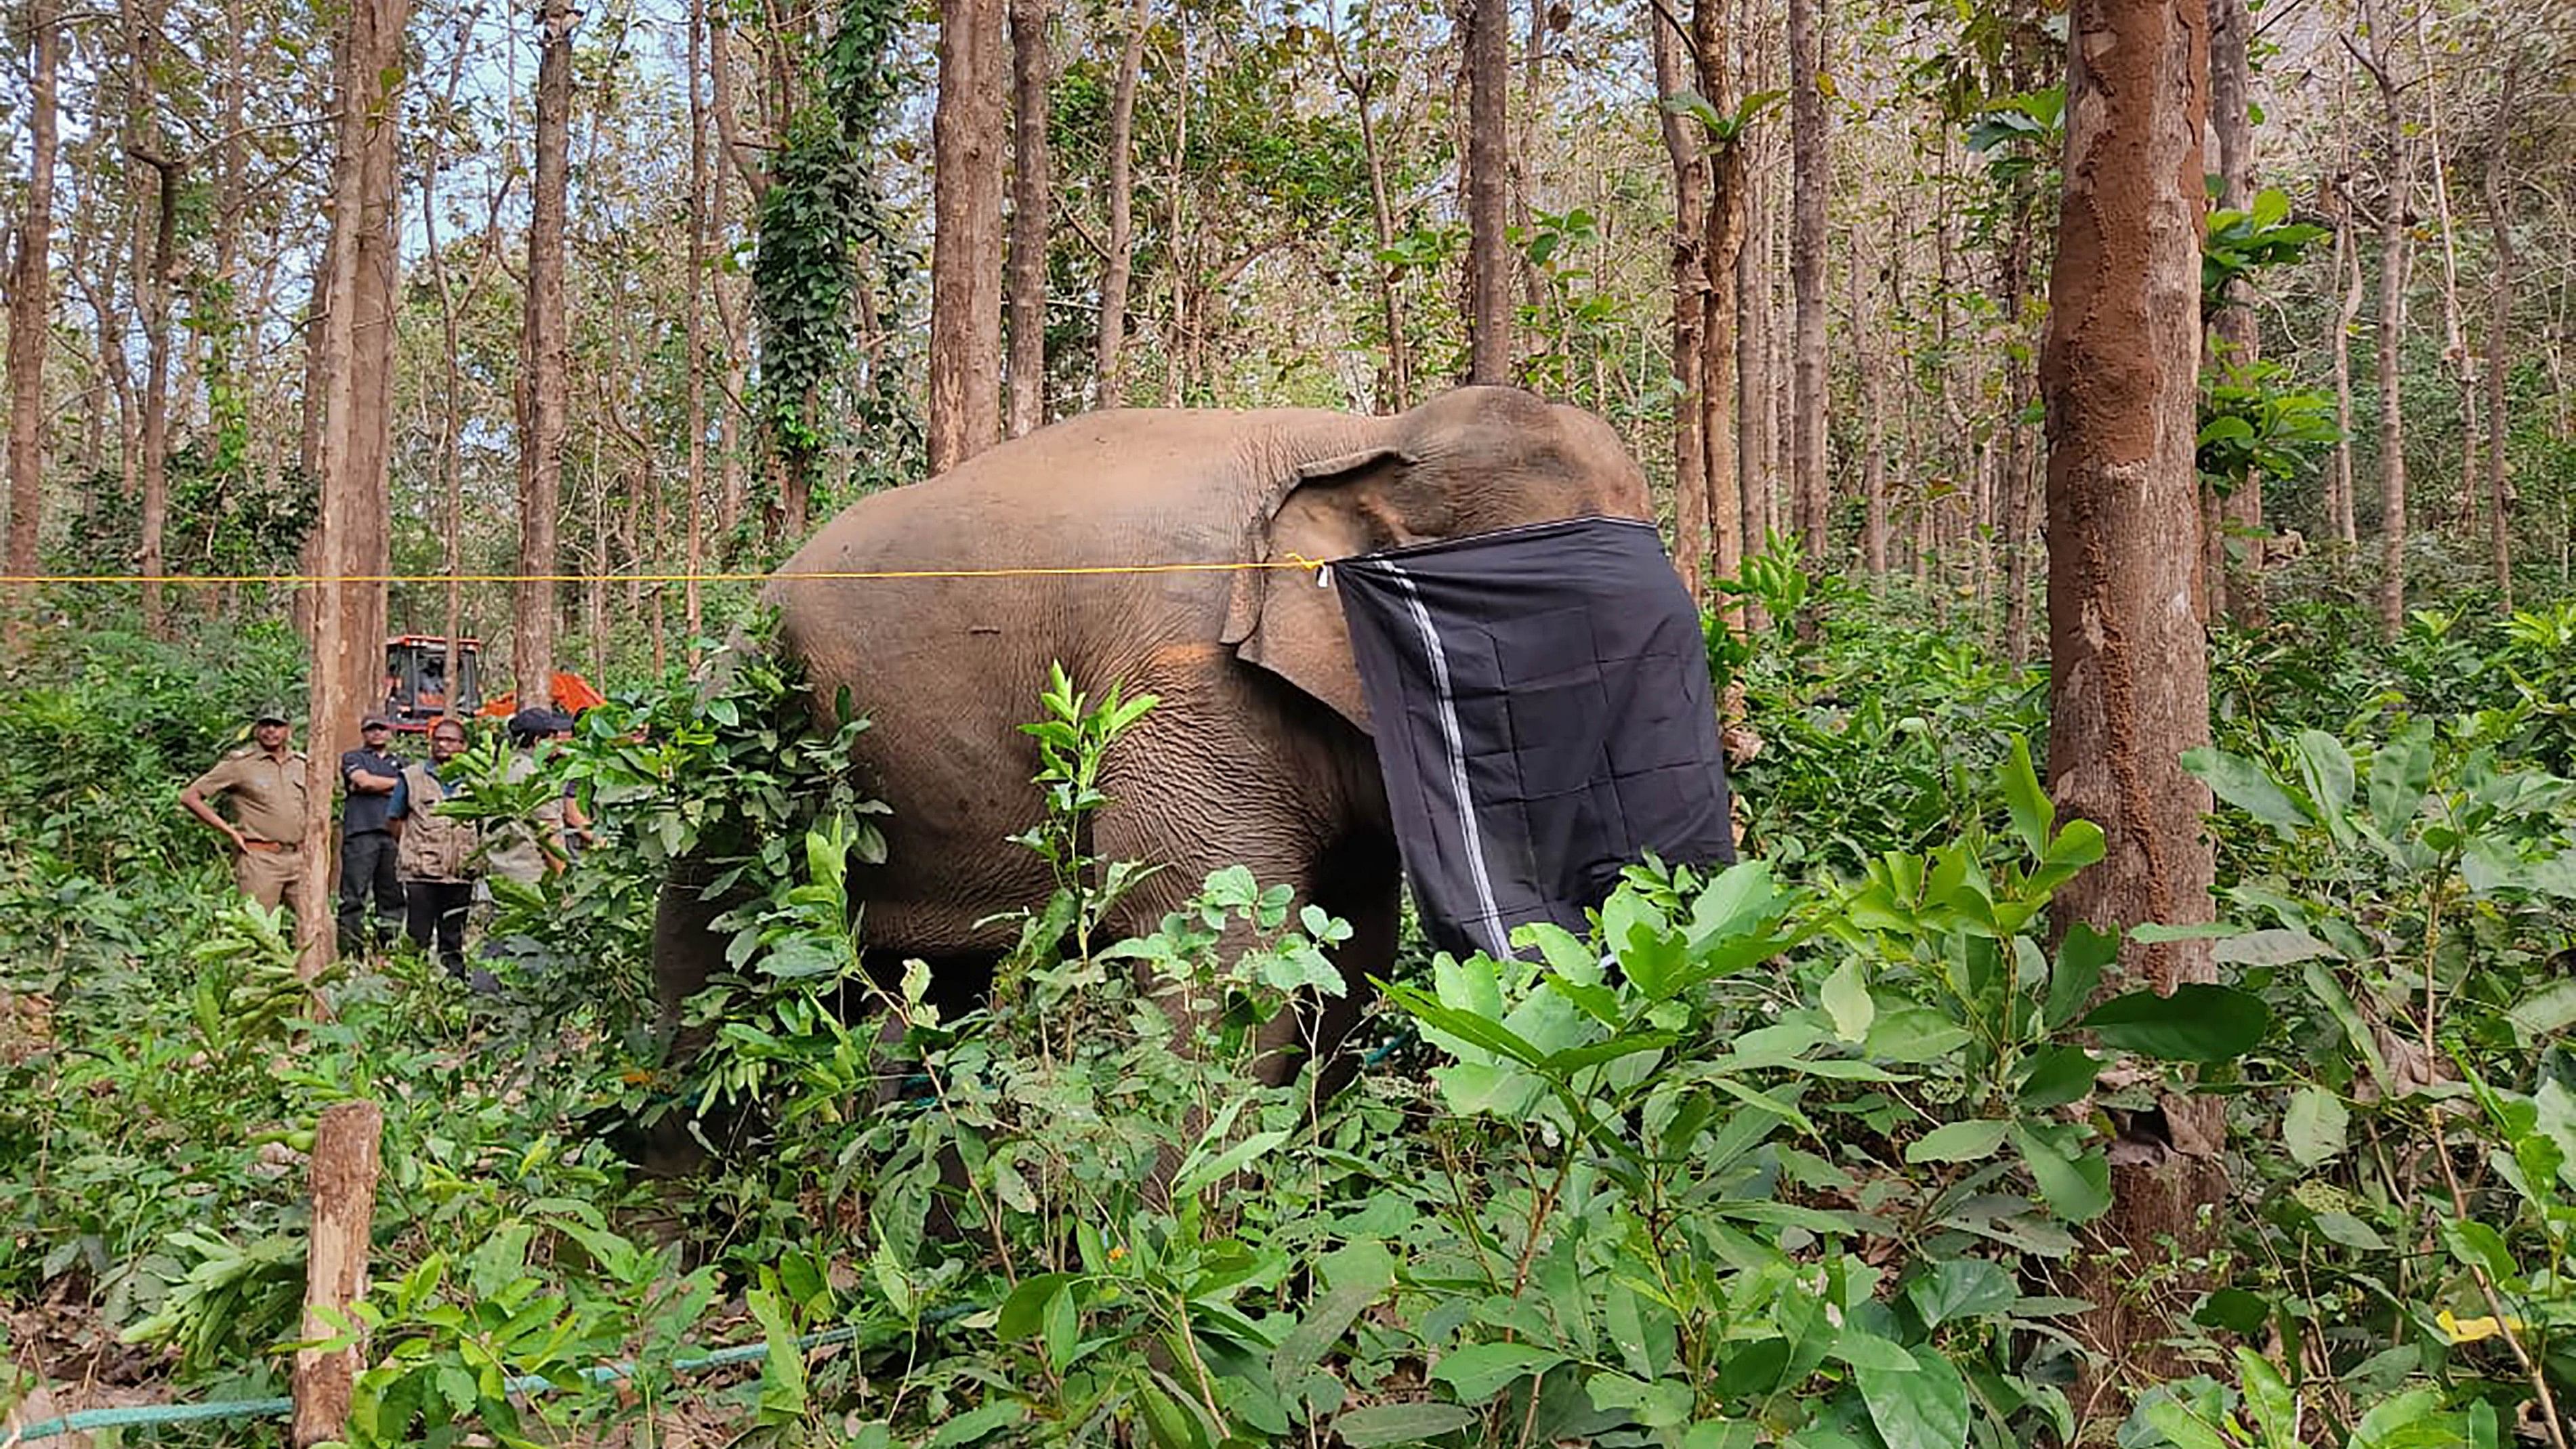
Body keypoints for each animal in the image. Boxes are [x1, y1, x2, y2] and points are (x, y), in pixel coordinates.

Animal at [654, 385, 1659, 1112]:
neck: (1361, 435)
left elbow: (1351, 950)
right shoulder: (1180, 689)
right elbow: (1219, 950)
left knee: (936, 990)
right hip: (739, 759)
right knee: (708, 972)